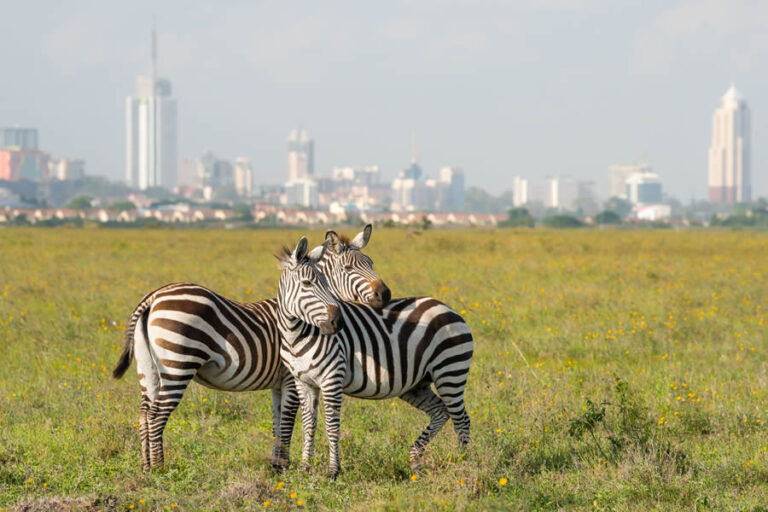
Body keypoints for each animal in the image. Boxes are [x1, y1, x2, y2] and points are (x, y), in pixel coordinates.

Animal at [111, 226, 390, 472]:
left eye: (371, 262)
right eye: (348, 268)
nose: (385, 295)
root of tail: (153, 297)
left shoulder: (278, 383)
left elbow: (278, 422)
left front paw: (276, 465)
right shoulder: (291, 378)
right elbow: (288, 421)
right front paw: (283, 466)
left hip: (148, 368)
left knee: (144, 412)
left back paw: (146, 466)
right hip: (178, 365)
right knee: (157, 415)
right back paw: (159, 468)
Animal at [277, 236, 473, 479]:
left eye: (325, 284)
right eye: (307, 284)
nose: (337, 322)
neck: (296, 335)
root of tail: (448, 308)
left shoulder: (332, 379)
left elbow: (332, 426)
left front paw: (333, 471)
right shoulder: (303, 381)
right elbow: (308, 424)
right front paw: (305, 468)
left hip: (450, 371)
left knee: (461, 419)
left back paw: (465, 465)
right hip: (416, 384)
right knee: (440, 411)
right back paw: (416, 461)